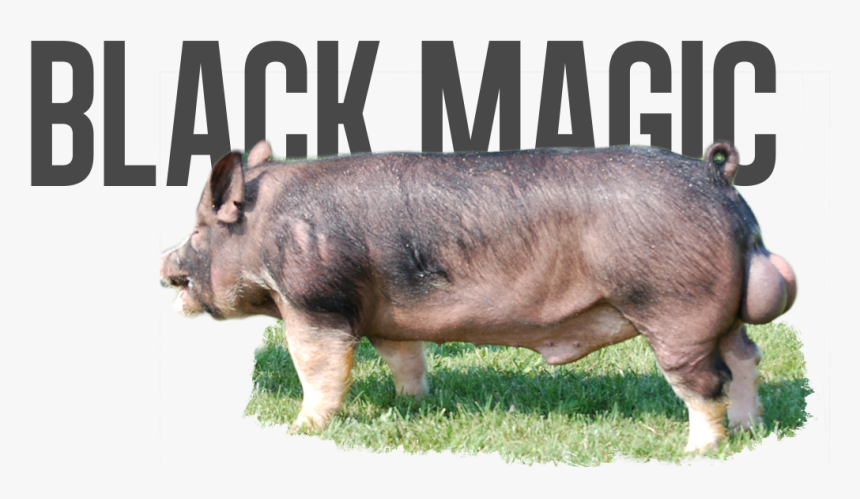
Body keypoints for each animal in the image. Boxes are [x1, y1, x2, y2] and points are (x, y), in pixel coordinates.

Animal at [159, 140, 796, 453]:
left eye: (199, 231)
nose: (164, 263)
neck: (265, 229)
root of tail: (718, 181)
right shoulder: (385, 314)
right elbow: (405, 357)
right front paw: (412, 405)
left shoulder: (316, 301)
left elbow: (317, 367)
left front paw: (301, 429)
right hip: (720, 317)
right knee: (747, 357)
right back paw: (749, 430)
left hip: (673, 308)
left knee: (707, 381)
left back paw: (698, 451)